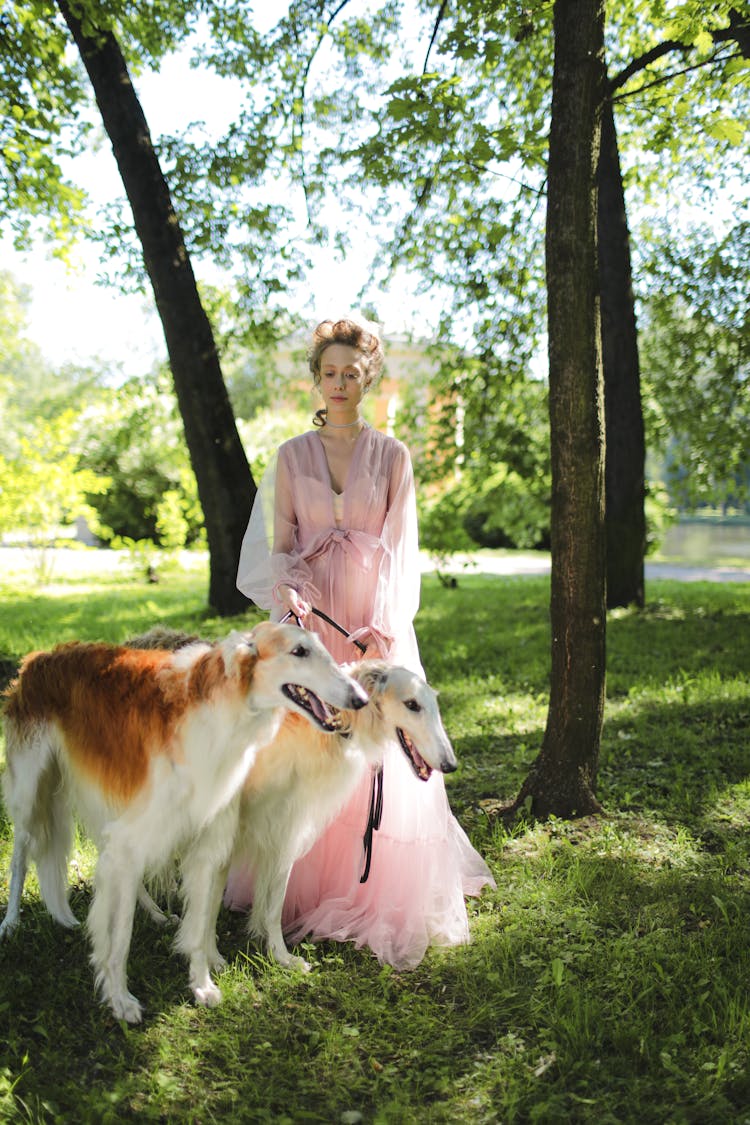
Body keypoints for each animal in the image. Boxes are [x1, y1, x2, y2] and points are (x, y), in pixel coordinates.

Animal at [0, 621, 368, 1026]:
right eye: (299, 651)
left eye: (322, 648)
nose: (360, 699)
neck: (221, 715)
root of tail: (37, 658)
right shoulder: (135, 835)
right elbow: (120, 936)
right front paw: (120, 999)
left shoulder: (205, 843)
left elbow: (198, 926)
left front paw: (202, 986)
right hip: (31, 794)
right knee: (20, 857)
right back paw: (11, 923)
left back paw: (156, 914)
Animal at [231, 657, 461, 967]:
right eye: (412, 704)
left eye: (434, 703)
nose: (450, 764)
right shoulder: (283, 829)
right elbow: (274, 901)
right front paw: (283, 957)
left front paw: (264, 941)